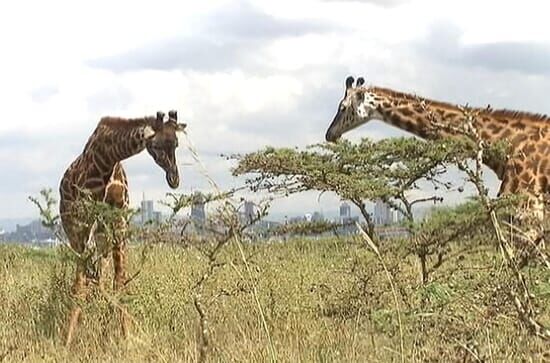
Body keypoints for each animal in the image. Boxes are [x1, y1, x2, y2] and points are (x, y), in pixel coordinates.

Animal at [59, 109, 187, 346]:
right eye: (155, 145)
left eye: (176, 144)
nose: (174, 179)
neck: (108, 159)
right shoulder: (84, 223)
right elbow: (80, 284)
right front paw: (67, 340)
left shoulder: (119, 223)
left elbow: (119, 282)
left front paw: (124, 337)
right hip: (75, 230)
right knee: (86, 278)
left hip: (102, 237)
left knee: (98, 276)